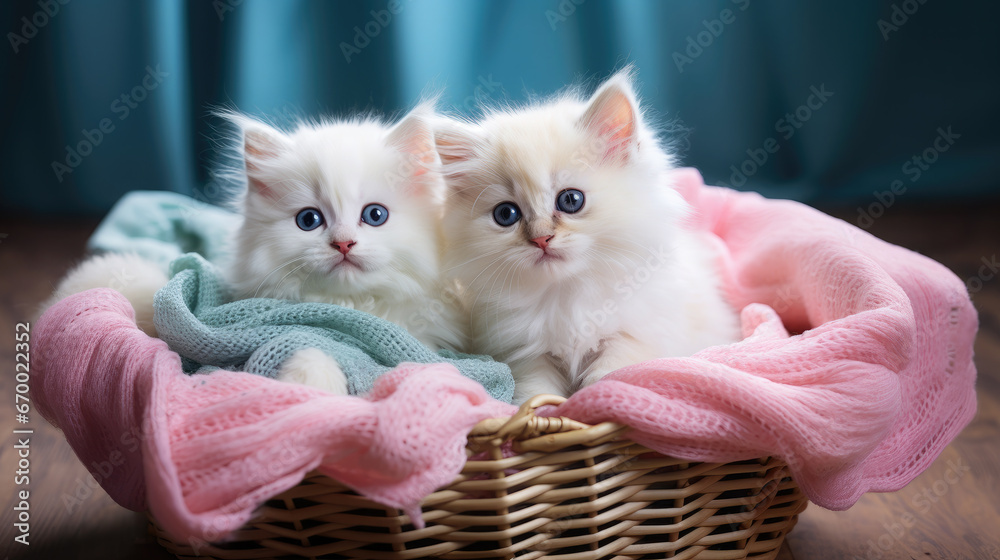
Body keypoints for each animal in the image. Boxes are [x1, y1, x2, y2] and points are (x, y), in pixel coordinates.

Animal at [225, 105, 466, 394]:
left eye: (375, 215)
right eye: (309, 220)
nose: (343, 243)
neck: (355, 304)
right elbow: (309, 344)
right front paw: (313, 383)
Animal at [440, 69, 744, 402]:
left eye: (571, 200)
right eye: (506, 214)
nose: (541, 239)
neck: (567, 294)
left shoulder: (636, 336)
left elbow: (612, 373)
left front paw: (595, 401)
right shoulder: (523, 353)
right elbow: (534, 389)